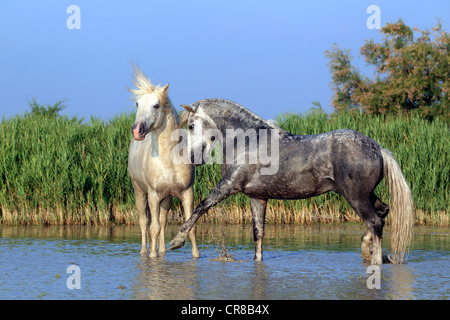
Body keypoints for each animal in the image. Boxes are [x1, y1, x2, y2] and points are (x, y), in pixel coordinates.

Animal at [126, 67, 197, 258]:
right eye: (137, 104)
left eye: (156, 105)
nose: (137, 130)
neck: (169, 160)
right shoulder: (153, 195)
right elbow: (153, 228)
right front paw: (152, 256)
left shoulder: (187, 193)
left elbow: (190, 226)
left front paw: (195, 255)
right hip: (139, 192)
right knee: (144, 222)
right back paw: (145, 251)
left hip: (167, 199)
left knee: (163, 221)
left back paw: (163, 250)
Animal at [170, 99, 414, 264]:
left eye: (191, 126)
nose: (193, 158)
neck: (248, 142)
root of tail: (378, 149)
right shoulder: (257, 197)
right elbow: (258, 234)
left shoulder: (229, 185)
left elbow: (201, 206)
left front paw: (177, 240)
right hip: (365, 195)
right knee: (382, 212)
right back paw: (368, 250)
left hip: (355, 197)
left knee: (375, 221)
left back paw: (375, 261)